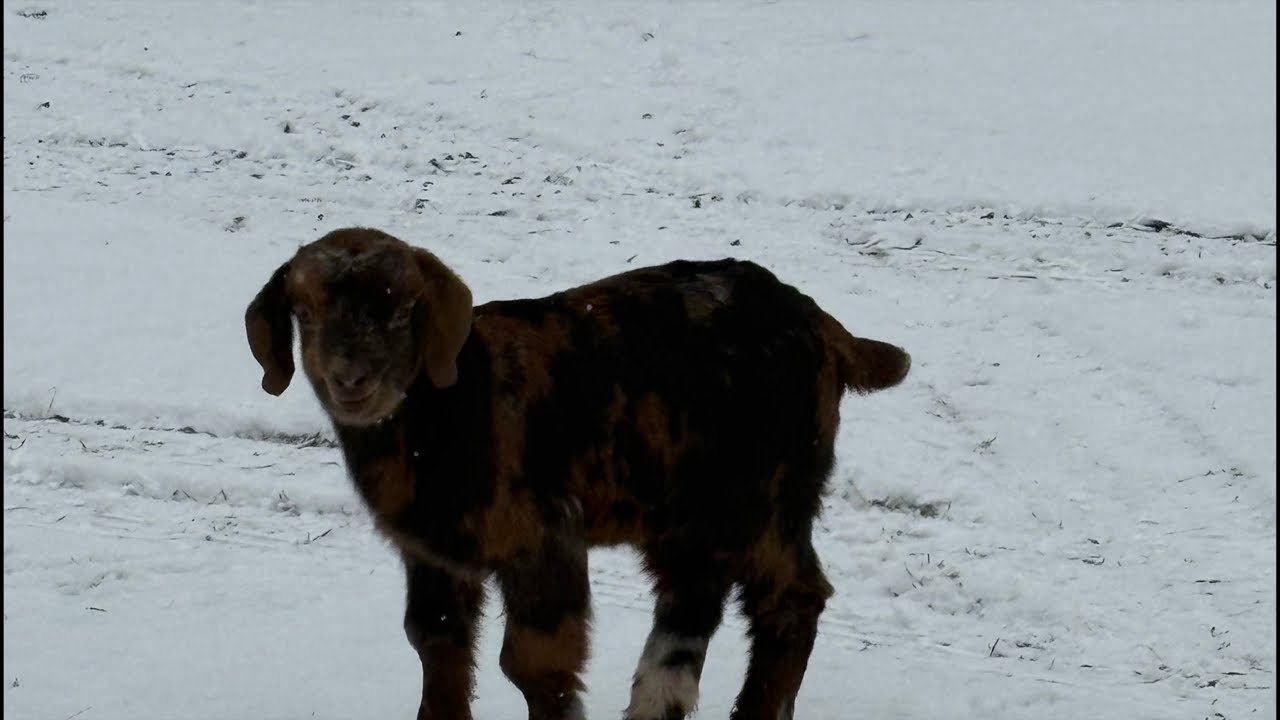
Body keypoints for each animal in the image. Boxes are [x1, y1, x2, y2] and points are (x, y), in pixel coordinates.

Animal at [245, 227, 910, 720]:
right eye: (304, 311)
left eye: (407, 309)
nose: (351, 380)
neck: (452, 409)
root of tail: (827, 329)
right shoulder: (434, 555)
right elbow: (435, 641)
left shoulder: (542, 535)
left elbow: (536, 663)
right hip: (687, 516)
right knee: (692, 606)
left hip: (765, 492)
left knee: (792, 598)